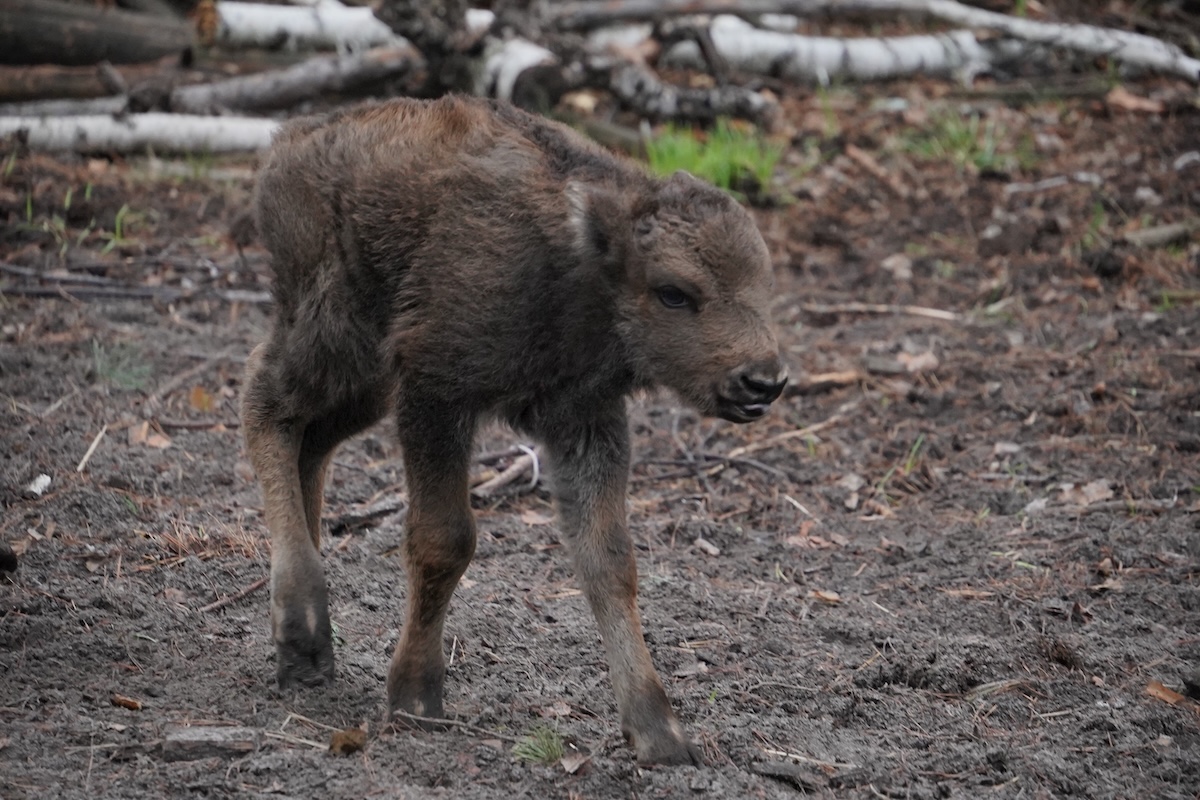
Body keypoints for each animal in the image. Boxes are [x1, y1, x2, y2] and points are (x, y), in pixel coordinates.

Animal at [242, 97, 787, 767]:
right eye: (674, 292)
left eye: (763, 285)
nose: (761, 382)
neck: (586, 263)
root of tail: (286, 145)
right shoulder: (436, 390)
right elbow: (445, 541)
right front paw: (416, 698)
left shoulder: (584, 419)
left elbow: (609, 561)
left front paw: (660, 734)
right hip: (336, 332)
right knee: (264, 403)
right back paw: (301, 631)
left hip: (365, 380)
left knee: (309, 441)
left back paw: (309, 647)